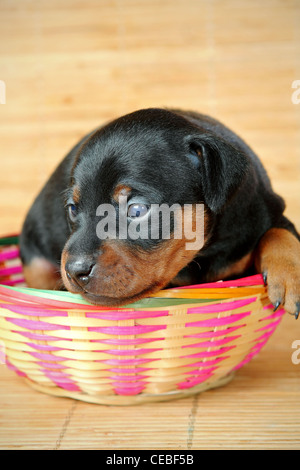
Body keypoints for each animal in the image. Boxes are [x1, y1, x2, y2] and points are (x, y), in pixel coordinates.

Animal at [18, 108, 300, 318]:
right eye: (73, 209)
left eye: (137, 210)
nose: (75, 270)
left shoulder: (265, 211)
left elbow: (278, 232)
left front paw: (290, 275)